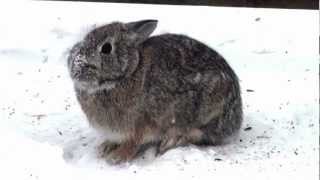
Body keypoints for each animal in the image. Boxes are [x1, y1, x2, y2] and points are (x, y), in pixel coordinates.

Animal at [68, 19, 242, 165]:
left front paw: (117, 157)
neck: (129, 72)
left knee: (198, 132)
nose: (75, 69)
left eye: (106, 48)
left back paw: (171, 141)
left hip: (209, 109)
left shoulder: (141, 124)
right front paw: (105, 147)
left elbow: (134, 142)